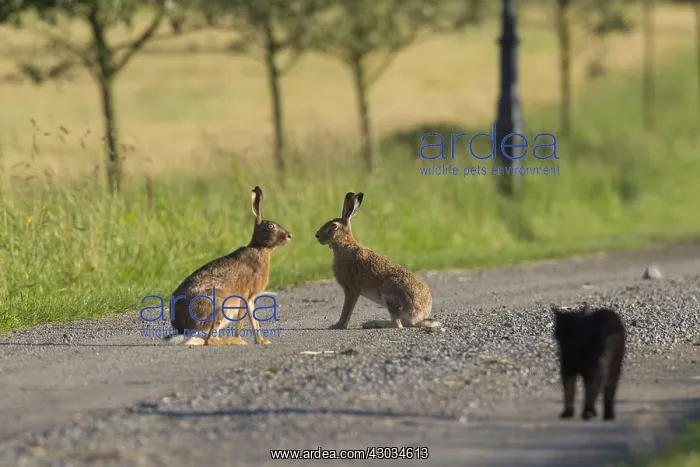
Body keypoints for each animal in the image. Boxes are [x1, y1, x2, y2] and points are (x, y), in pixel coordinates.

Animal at [166, 186, 292, 346]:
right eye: (271, 226)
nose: (289, 236)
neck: (260, 248)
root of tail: (181, 326)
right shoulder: (246, 296)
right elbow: (245, 320)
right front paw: (244, 339)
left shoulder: (249, 299)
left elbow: (254, 320)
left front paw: (262, 340)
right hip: (221, 306)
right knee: (210, 340)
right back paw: (233, 341)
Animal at [315, 191, 441, 330]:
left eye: (333, 226)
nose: (317, 236)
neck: (344, 244)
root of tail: (419, 316)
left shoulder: (351, 289)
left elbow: (346, 310)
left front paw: (337, 326)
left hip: (389, 294)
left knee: (397, 325)